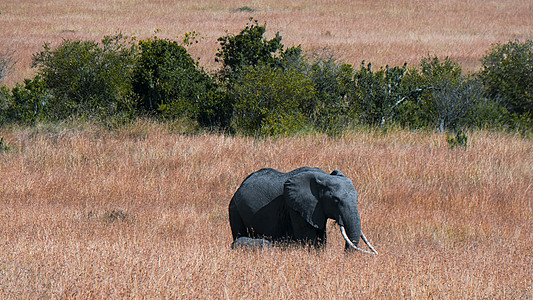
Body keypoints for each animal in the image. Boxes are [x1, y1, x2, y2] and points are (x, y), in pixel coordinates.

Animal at [227, 166, 376, 253]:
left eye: (357, 198)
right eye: (335, 200)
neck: (324, 178)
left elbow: (321, 237)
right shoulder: (296, 207)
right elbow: (308, 238)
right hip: (234, 209)